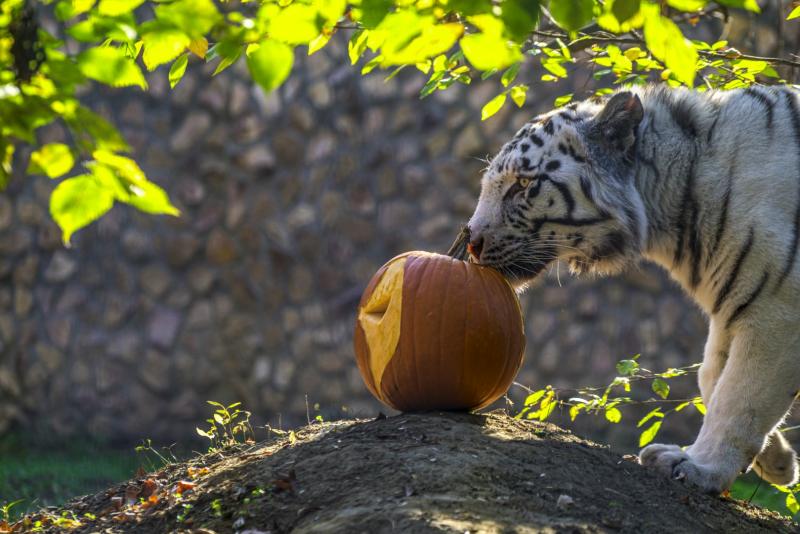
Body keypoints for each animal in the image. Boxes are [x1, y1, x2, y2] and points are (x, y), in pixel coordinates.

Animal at [466, 85, 800, 494]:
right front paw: (778, 461)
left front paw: (700, 468)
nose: (471, 243)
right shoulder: (735, 303)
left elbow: (740, 396)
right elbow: (712, 376)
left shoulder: (776, 310)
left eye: (524, 184)